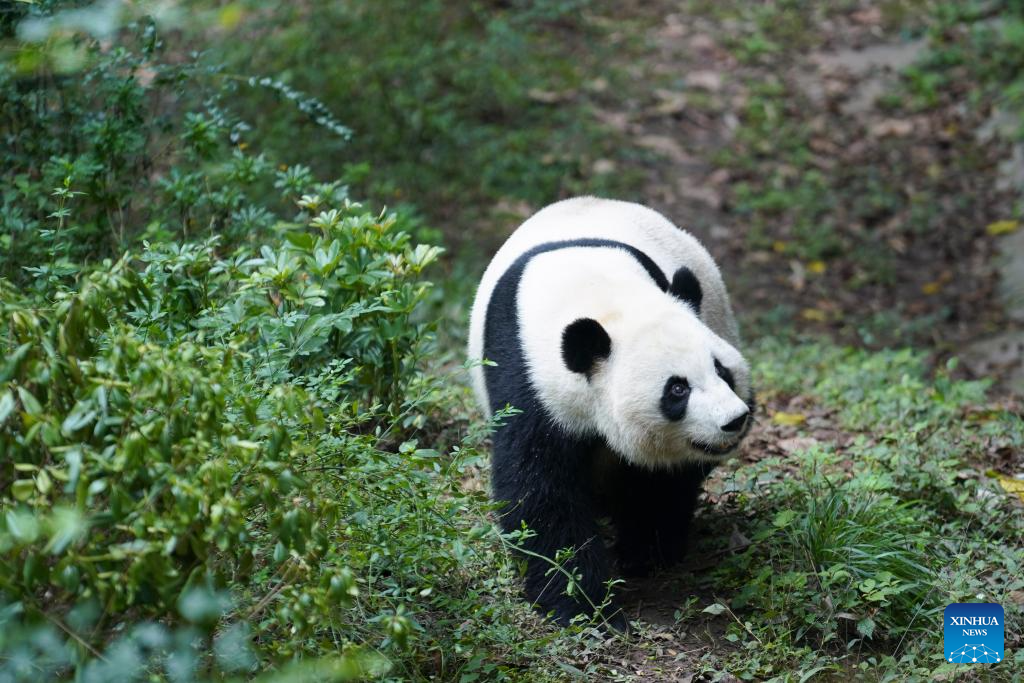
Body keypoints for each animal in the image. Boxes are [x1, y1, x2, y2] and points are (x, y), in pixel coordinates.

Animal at [468, 194, 753, 626]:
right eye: (677, 389)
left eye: (722, 371)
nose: (734, 420)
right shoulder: (526, 377)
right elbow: (540, 490)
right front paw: (581, 604)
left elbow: (658, 480)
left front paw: (644, 550)